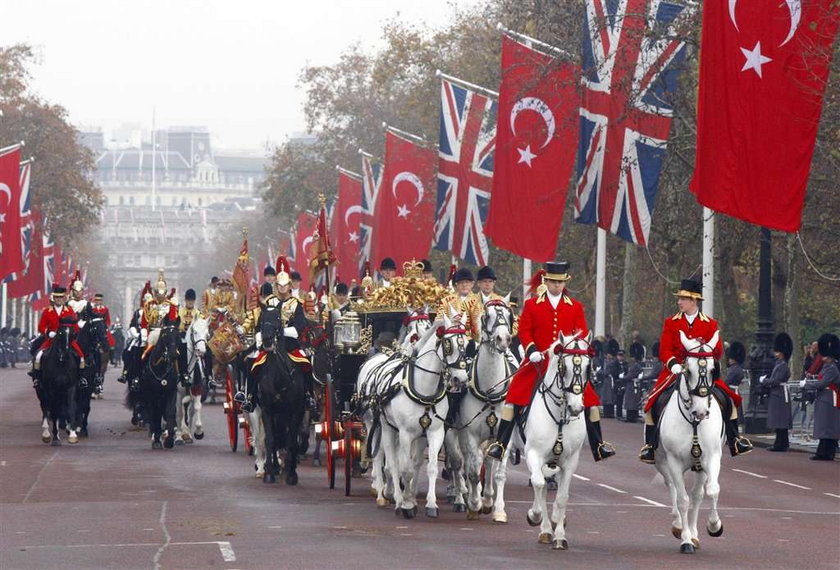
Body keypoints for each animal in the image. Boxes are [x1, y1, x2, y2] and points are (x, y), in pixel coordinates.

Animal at [175, 316, 209, 444]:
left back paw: (188, 433)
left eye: (207, 334)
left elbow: (196, 408)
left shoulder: (197, 388)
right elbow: (179, 413)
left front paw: (198, 432)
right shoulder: (178, 393)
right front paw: (178, 436)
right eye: (195, 332)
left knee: (189, 410)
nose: (201, 351)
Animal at [256, 320, 312, 484]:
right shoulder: (267, 409)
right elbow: (270, 439)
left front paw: (291, 473)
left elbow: (291, 440)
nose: (267, 340)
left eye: (277, 321)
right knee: (276, 437)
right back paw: (274, 467)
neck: (280, 380)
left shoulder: (296, 410)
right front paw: (269, 473)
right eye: (262, 321)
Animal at [452, 298, 520, 520]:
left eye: (508, 316)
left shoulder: (504, 435)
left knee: (488, 463)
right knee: (459, 463)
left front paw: (497, 508)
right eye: (486, 316)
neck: (491, 391)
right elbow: (473, 471)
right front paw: (474, 504)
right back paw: (463, 497)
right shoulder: (469, 434)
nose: (503, 339)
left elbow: (498, 472)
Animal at [496, 330, 588, 548]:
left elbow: (562, 497)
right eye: (564, 368)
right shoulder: (533, 454)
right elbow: (538, 484)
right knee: (503, 476)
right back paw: (501, 512)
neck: (560, 417)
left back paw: (549, 528)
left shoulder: (570, 461)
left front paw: (559, 533)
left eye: (588, 367)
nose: (576, 408)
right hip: (508, 445)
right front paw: (535, 515)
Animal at [656, 328, 720, 552]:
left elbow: (711, 491)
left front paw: (714, 526)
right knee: (673, 488)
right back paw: (678, 526)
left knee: (697, 495)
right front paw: (685, 540)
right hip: (662, 462)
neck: (694, 423)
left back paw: (694, 533)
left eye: (713, 369)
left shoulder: (711, 458)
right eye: (687, 371)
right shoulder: (673, 461)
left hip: (699, 467)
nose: (700, 411)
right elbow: (682, 499)